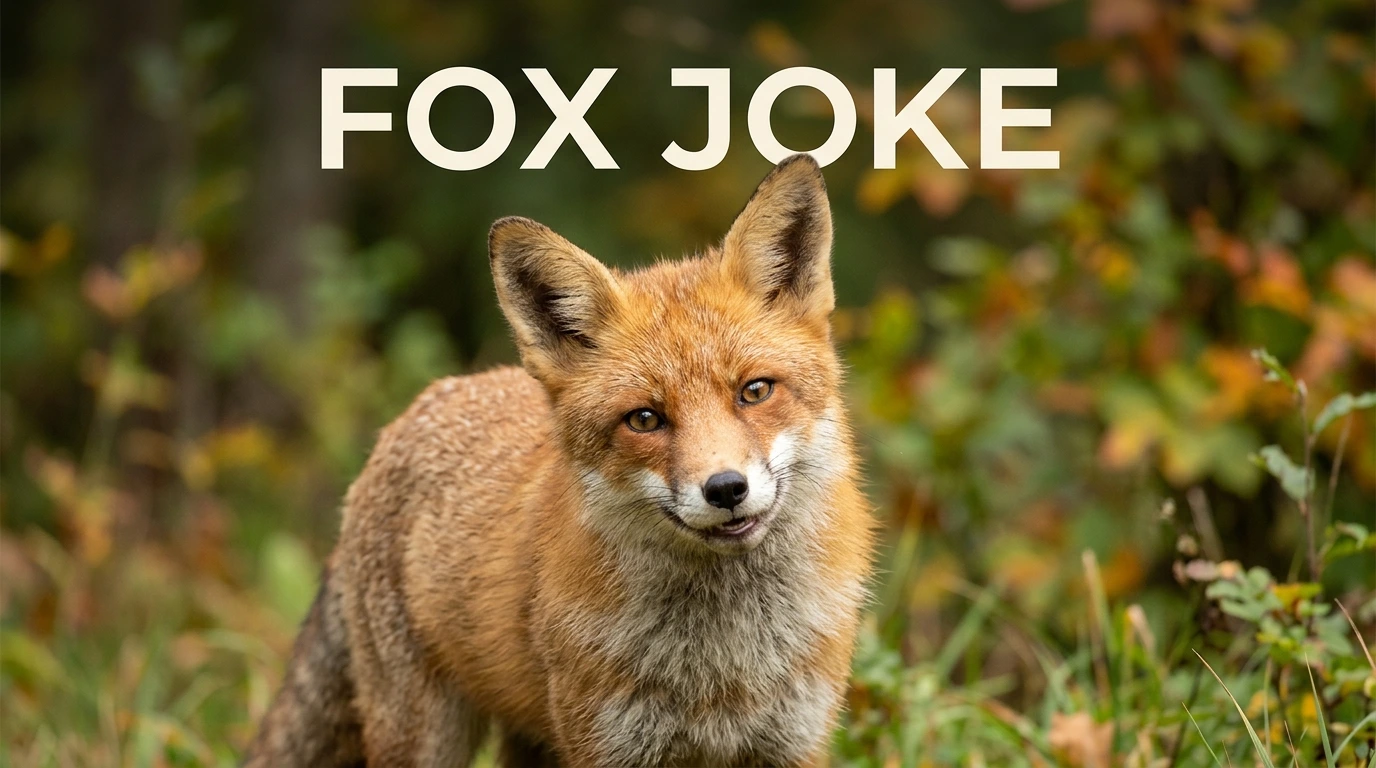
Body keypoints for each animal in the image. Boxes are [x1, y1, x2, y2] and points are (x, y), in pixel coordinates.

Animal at [244, 154, 876, 768]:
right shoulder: (607, 746)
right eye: (644, 419)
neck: (724, 667)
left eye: (755, 391)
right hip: (425, 735)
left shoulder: (794, 742)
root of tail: (416, 408)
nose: (725, 489)